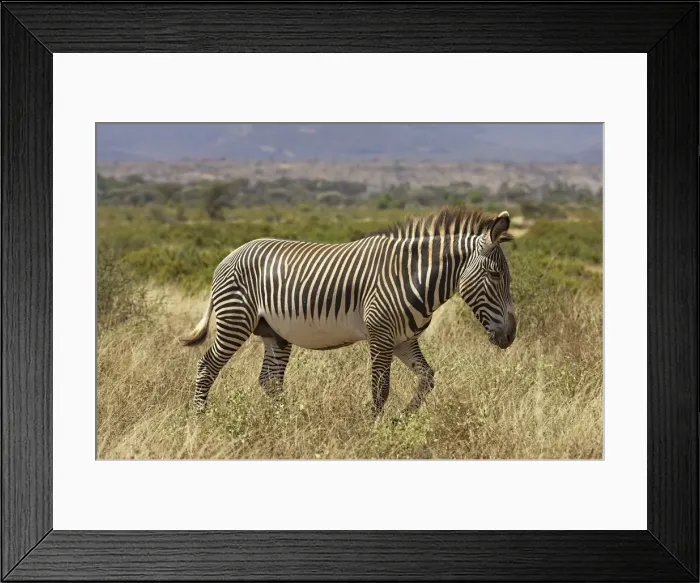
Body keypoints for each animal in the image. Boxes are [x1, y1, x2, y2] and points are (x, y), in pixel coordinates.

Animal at [181, 206, 517, 418]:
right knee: (207, 367)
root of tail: (228, 256)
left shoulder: (403, 340)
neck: (413, 276)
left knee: (270, 380)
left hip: (274, 332)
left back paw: (287, 422)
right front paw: (374, 430)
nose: (511, 336)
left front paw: (403, 418)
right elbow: (381, 389)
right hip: (235, 320)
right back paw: (199, 419)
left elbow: (427, 378)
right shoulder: (381, 336)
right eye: (496, 275)